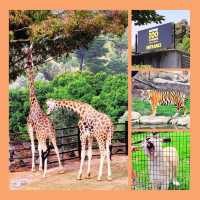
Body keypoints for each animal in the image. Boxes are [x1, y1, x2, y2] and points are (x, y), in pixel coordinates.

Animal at [23, 45, 63, 177]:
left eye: (28, 62)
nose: (25, 66)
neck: (33, 102)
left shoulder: (30, 127)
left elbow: (33, 147)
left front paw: (35, 168)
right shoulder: (39, 133)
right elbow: (39, 148)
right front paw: (40, 167)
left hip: (43, 136)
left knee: (45, 148)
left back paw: (45, 172)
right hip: (52, 135)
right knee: (55, 147)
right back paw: (61, 168)